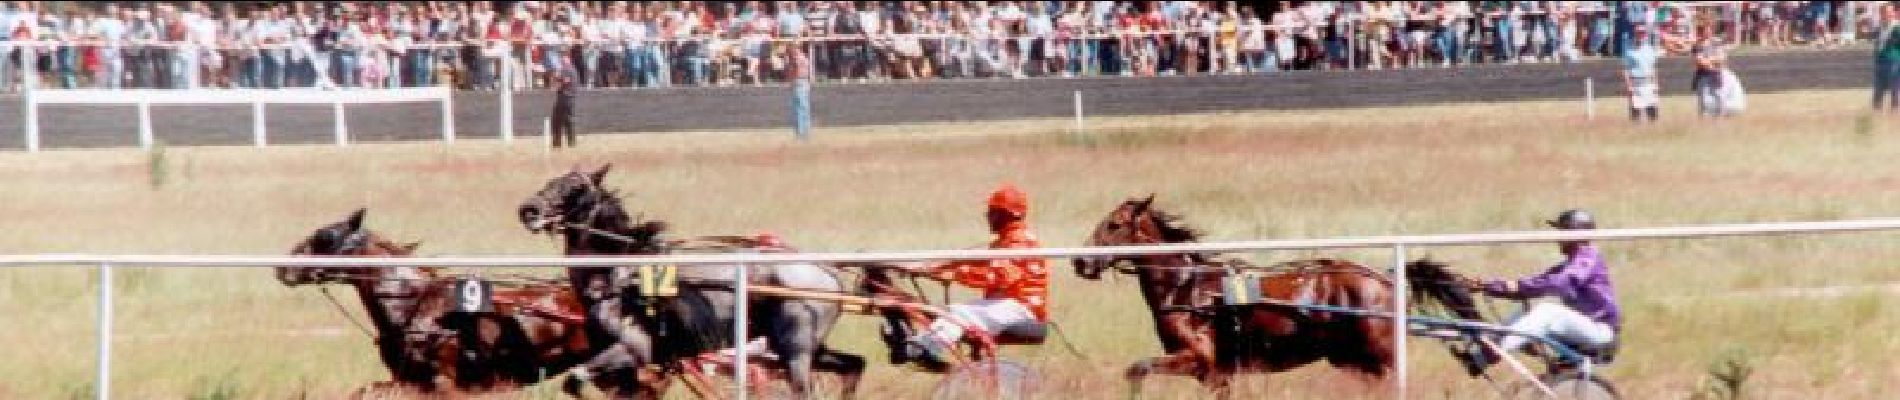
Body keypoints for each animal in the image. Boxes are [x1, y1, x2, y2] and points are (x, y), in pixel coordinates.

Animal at [516, 163, 866, 398]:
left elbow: (575, 378)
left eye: (575, 188)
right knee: (854, 365)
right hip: (804, 347)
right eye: (552, 180)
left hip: (796, 348)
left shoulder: (636, 347)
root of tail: (826, 272)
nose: (528, 209)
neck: (621, 274)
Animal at [1071, 194, 1398, 396]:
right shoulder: (1215, 376)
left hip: (1381, 355)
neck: (1186, 289)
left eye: (1114, 224)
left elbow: (1137, 368)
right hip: (1351, 360)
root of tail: (1384, 281)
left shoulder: (1200, 359)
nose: (1080, 261)